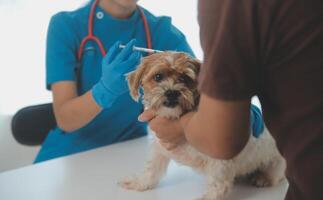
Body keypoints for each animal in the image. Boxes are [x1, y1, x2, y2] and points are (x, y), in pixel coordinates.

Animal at [119, 52, 286, 200]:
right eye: (158, 77)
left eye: (185, 78)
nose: (171, 92)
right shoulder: (160, 149)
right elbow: (151, 169)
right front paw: (139, 182)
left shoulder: (219, 158)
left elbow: (219, 185)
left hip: (276, 162)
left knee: (276, 174)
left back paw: (263, 178)